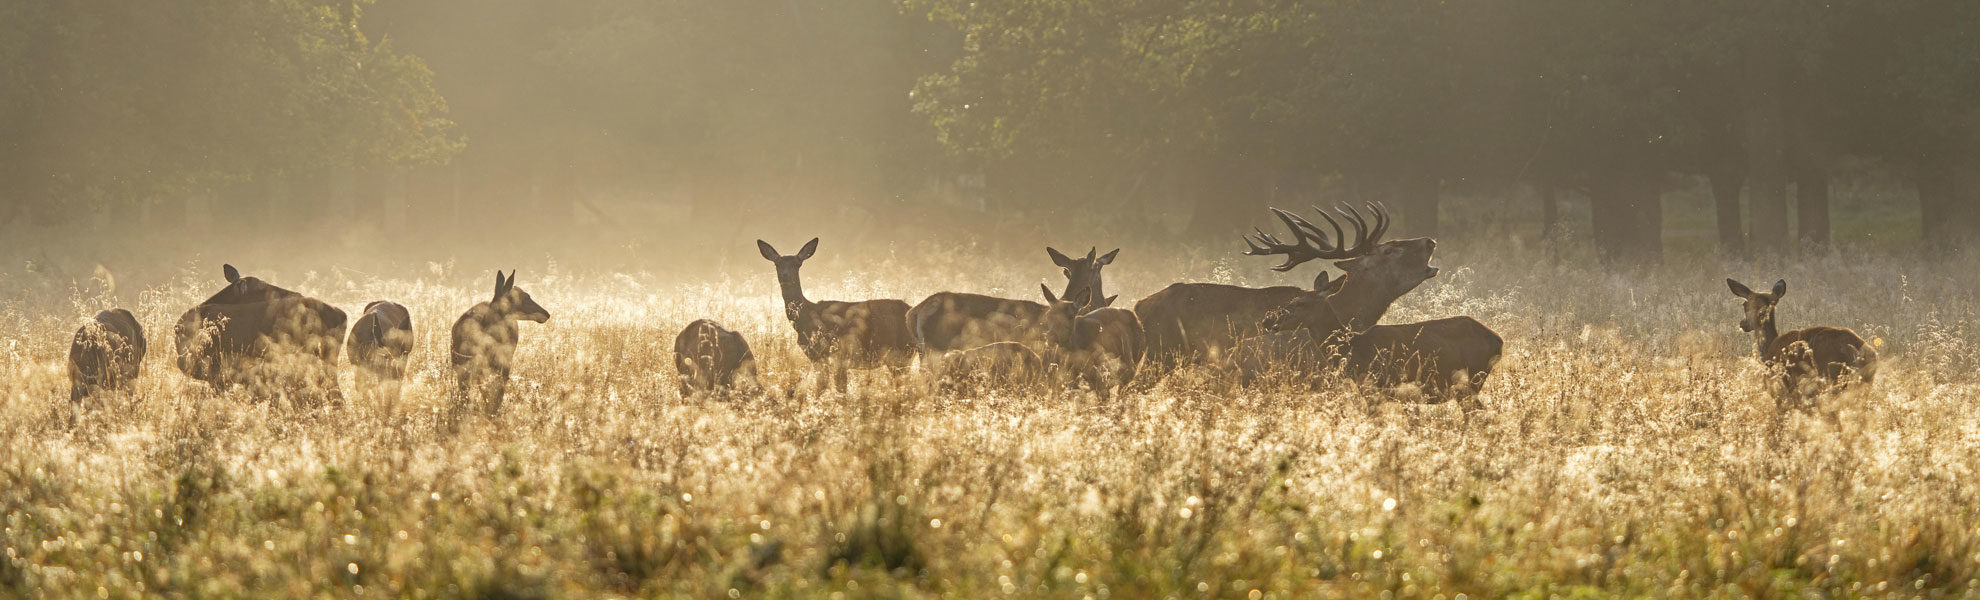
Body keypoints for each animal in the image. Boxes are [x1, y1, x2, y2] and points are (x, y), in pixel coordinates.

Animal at [752, 239, 914, 396]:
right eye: (777, 264)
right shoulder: (817, 358)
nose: (785, 275)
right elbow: (822, 389)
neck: (805, 320)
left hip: (900, 352)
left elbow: (838, 390)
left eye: (798, 264)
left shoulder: (838, 354)